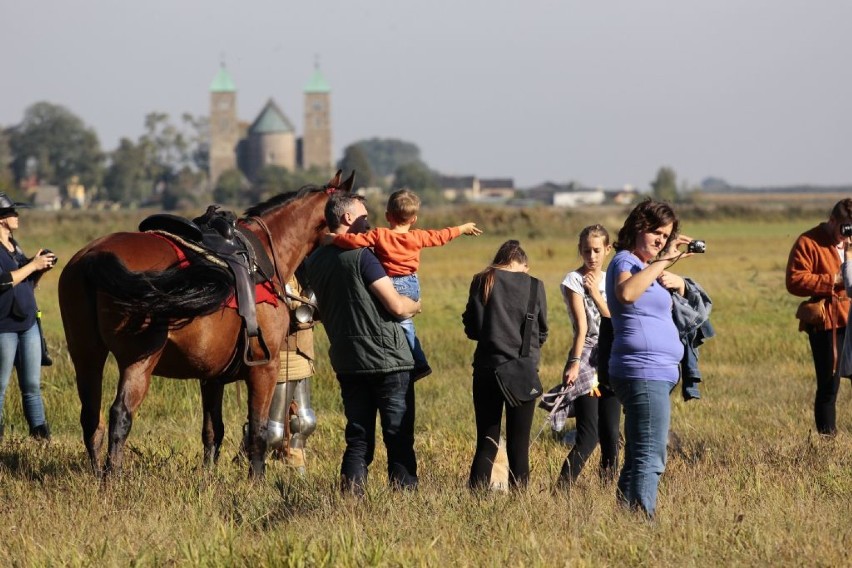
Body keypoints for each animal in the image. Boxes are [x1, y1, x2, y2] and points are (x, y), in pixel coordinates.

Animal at [60, 171, 352, 478]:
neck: (266, 258)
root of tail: (93, 256)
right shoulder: (266, 368)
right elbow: (259, 430)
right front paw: (256, 479)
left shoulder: (212, 376)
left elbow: (213, 430)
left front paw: (208, 477)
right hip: (138, 361)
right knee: (120, 415)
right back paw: (111, 478)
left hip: (86, 355)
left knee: (91, 417)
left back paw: (96, 473)